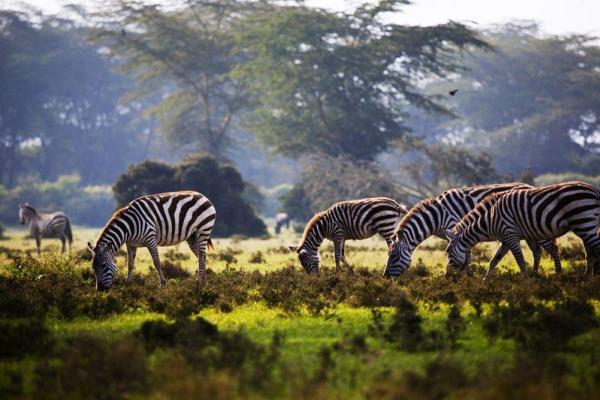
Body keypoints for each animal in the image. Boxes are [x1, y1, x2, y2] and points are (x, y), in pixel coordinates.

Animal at [84, 191, 216, 290]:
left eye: (103, 265)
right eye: (93, 267)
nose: (100, 290)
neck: (129, 227)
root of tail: (203, 196)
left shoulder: (150, 239)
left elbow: (156, 261)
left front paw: (162, 283)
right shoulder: (131, 244)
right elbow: (130, 264)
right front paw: (127, 284)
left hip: (203, 230)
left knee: (202, 256)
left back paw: (198, 283)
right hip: (192, 236)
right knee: (202, 257)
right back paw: (204, 283)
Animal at [384, 183, 564, 276]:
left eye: (394, 256)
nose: (386, 277)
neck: (438, 215)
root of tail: (529, 185)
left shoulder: (455, 228)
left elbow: (465, 256)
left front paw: (462, 278)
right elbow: (464, 256)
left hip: (538, 228)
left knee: (552, 249)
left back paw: (558, 275)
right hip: (529, 232)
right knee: (537, 251)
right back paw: (534, 275)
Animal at [446, 181, 600, 278]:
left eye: (447, 251)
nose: (446, 276)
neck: (490, 219)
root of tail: (595, 190)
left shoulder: (511, 235)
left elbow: (520, 261)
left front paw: (525, 283)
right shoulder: (505, 240)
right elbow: (494, 261)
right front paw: (485, 282)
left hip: (584, 223)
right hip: (584, 226)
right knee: (590, 253)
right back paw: (586, 278)